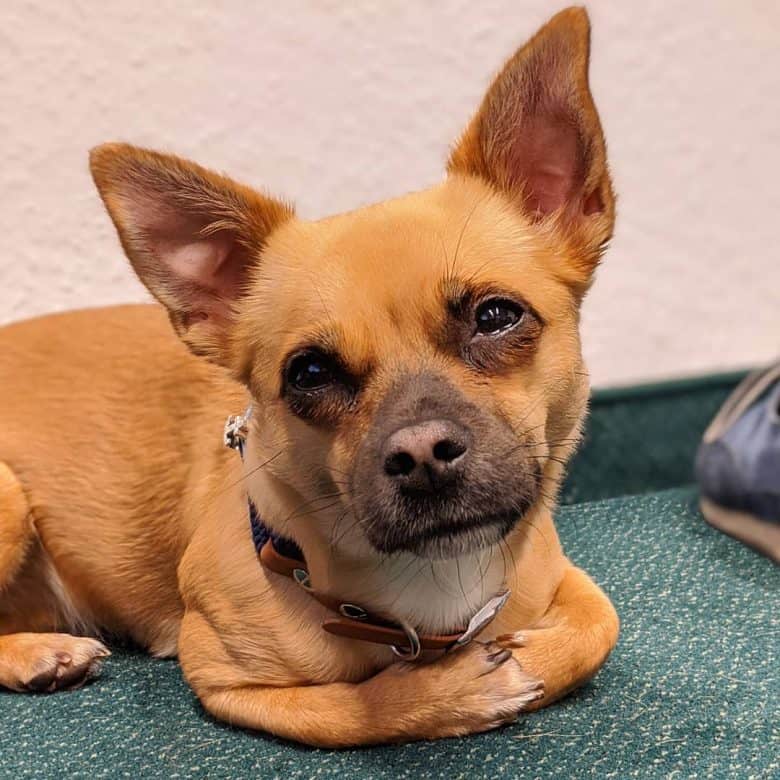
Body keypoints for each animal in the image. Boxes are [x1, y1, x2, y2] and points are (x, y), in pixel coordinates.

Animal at [1, 6, 620, 748]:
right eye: (310, 373)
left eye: (496, 316)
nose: (422, 454)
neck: (429, 586)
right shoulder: (222, 679)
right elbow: (350, 711)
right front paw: (449, 694)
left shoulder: (558, 575)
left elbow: (600, 625)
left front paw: (527, 656)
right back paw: (39, 652)